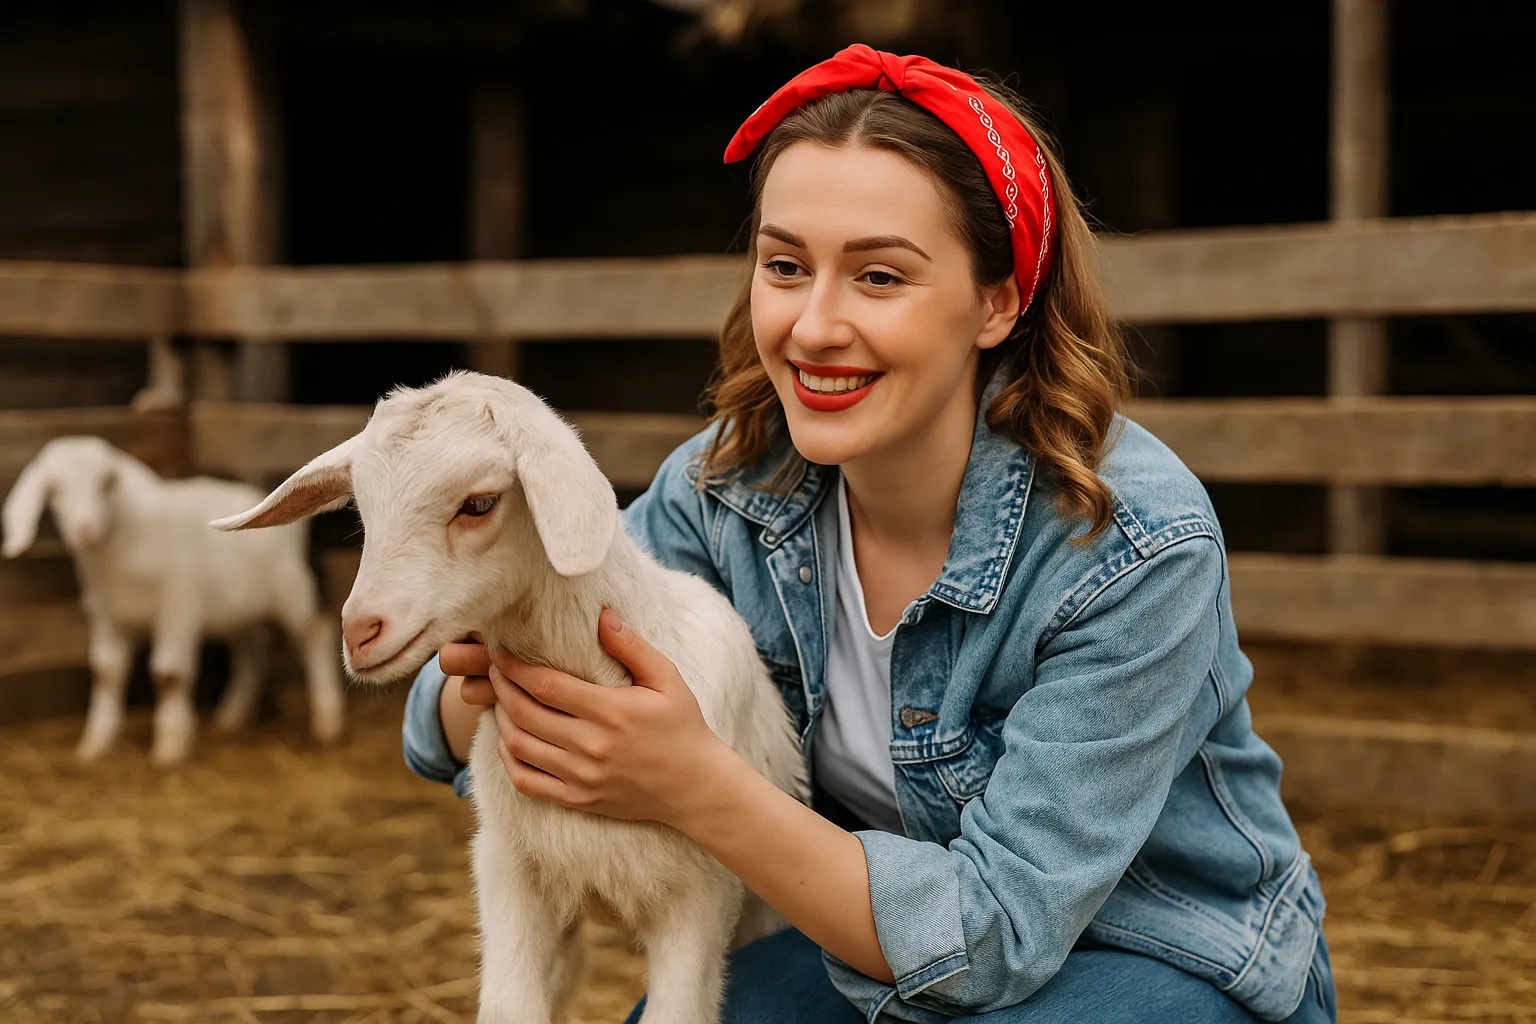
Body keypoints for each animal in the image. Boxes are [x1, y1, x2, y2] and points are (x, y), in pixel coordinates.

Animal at [2, 437, 346, 765]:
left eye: (106, 482)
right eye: (54, 489)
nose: (84, 531)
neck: (118, 553)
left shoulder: (177, 606)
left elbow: (168, 674)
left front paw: (170, 747)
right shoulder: (108, 616)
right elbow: (105, 672)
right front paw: (95, 745)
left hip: (296, 590)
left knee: (316, 636)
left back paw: (327, 722)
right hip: (239, 608)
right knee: (252, 650)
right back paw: (230, 717)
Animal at [213, 372, 807, 1024]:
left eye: (478, 504)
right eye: (363, 510)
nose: (360, 630)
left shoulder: (699, 902)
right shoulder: (509, 875)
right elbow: (507, 1008)